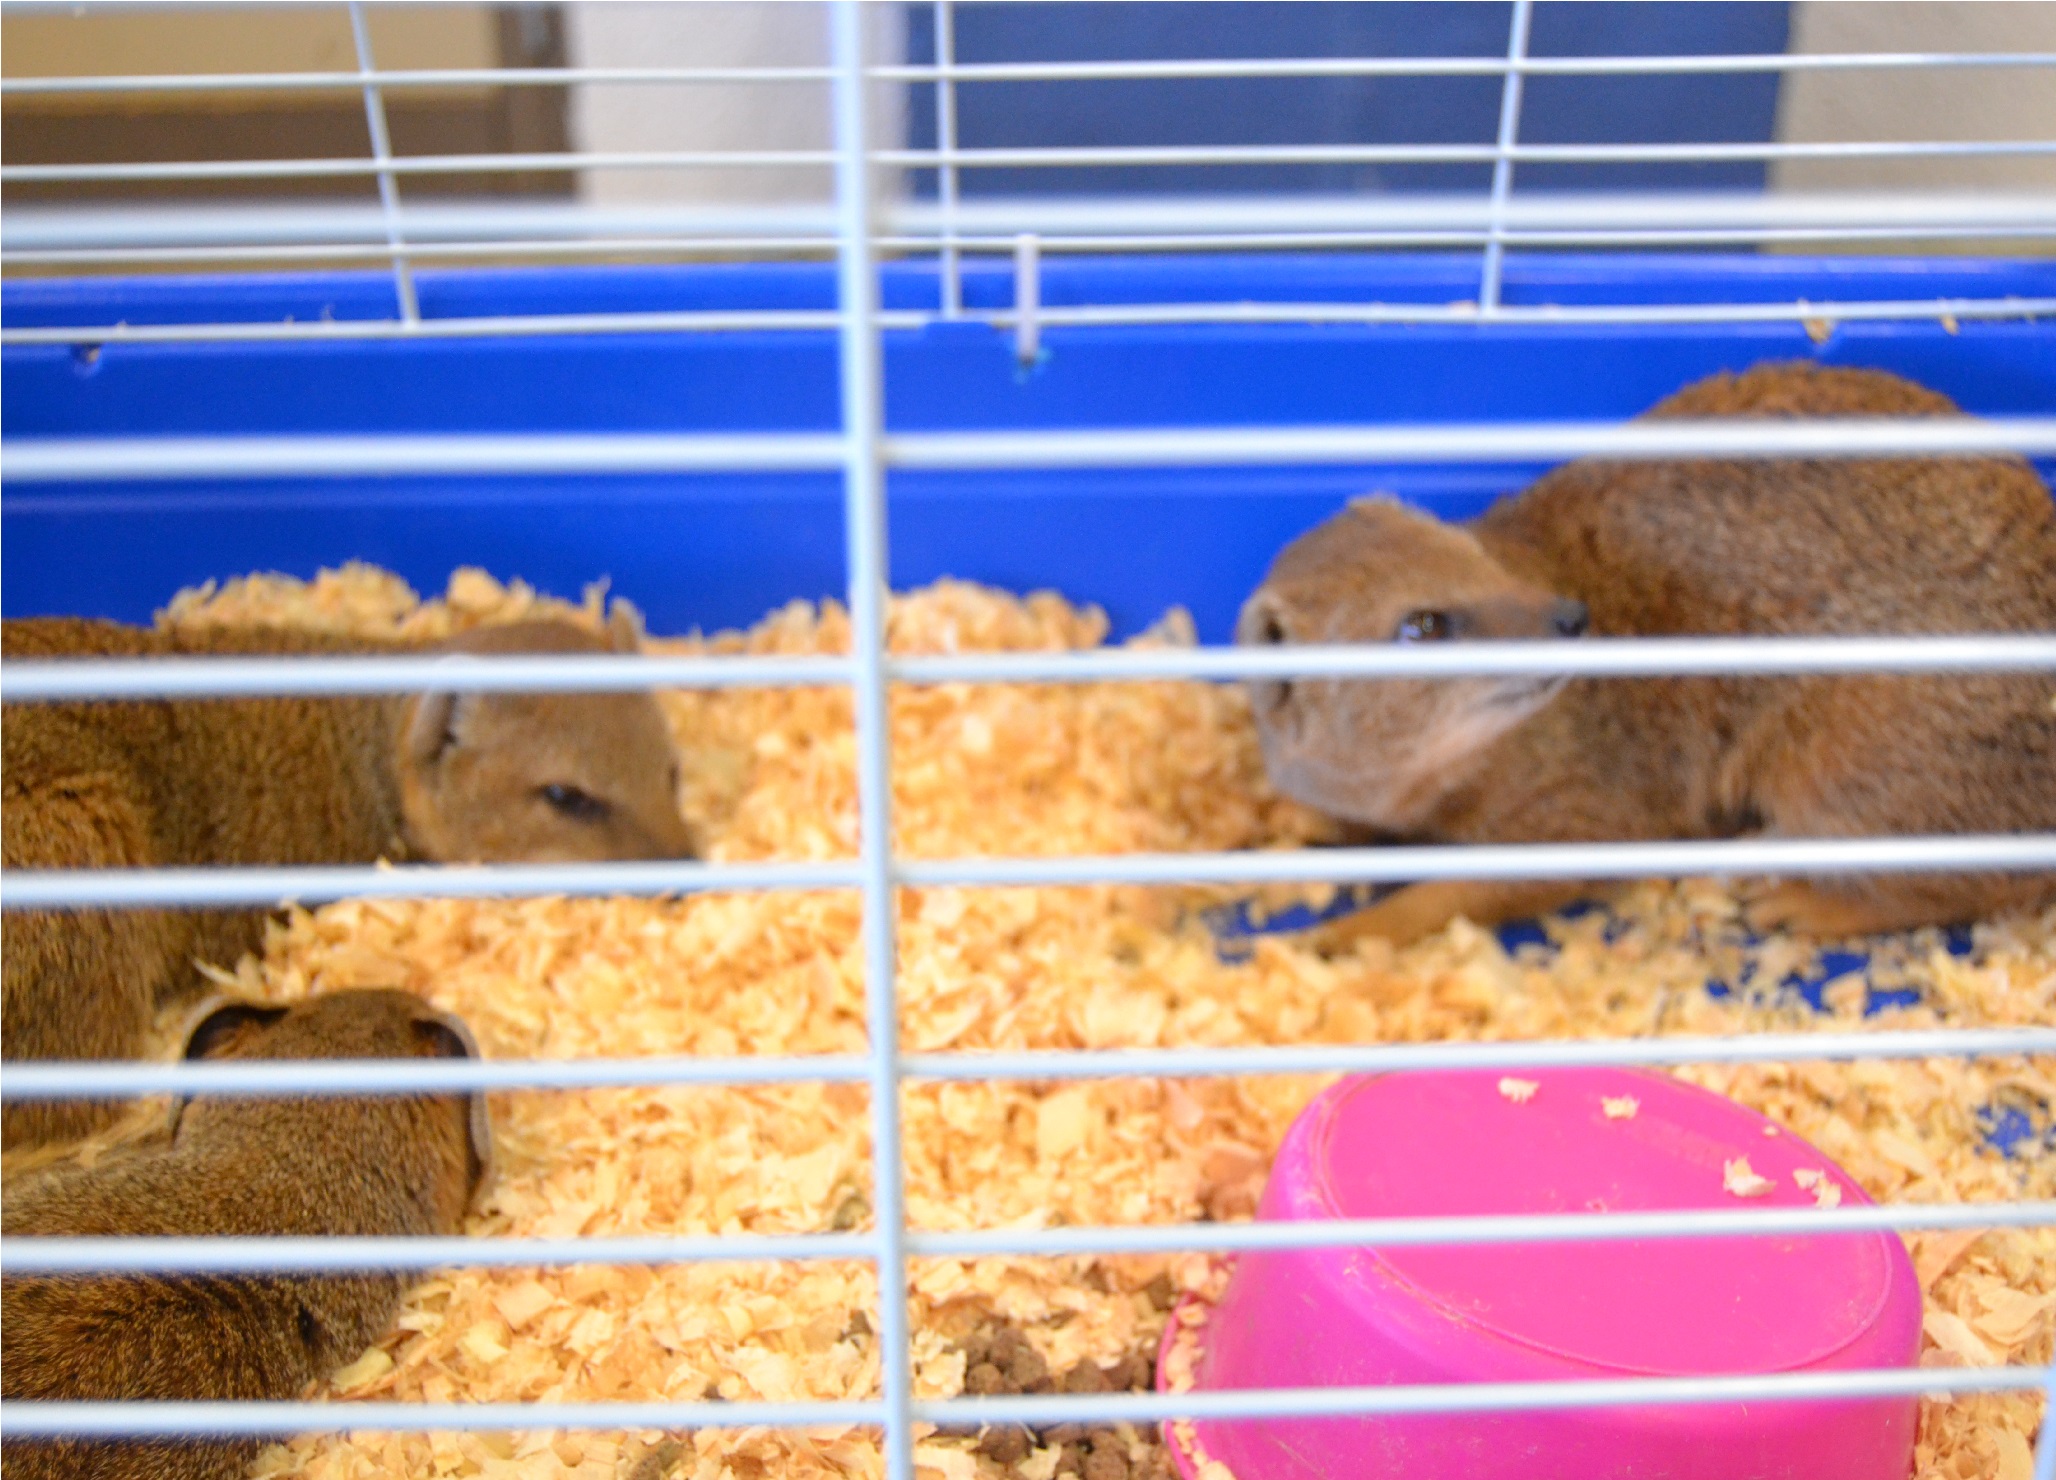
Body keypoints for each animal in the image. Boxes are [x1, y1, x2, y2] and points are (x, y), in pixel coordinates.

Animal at [1238, 361, 2056, 948]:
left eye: (1476, 558)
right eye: (1423, 625)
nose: (1571, 616)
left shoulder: (1594, 811)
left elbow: (1456, 894)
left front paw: (1332, 937)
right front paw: (1286, 818)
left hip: (1858, 763)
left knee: (1980, 880)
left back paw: (1801, 904)